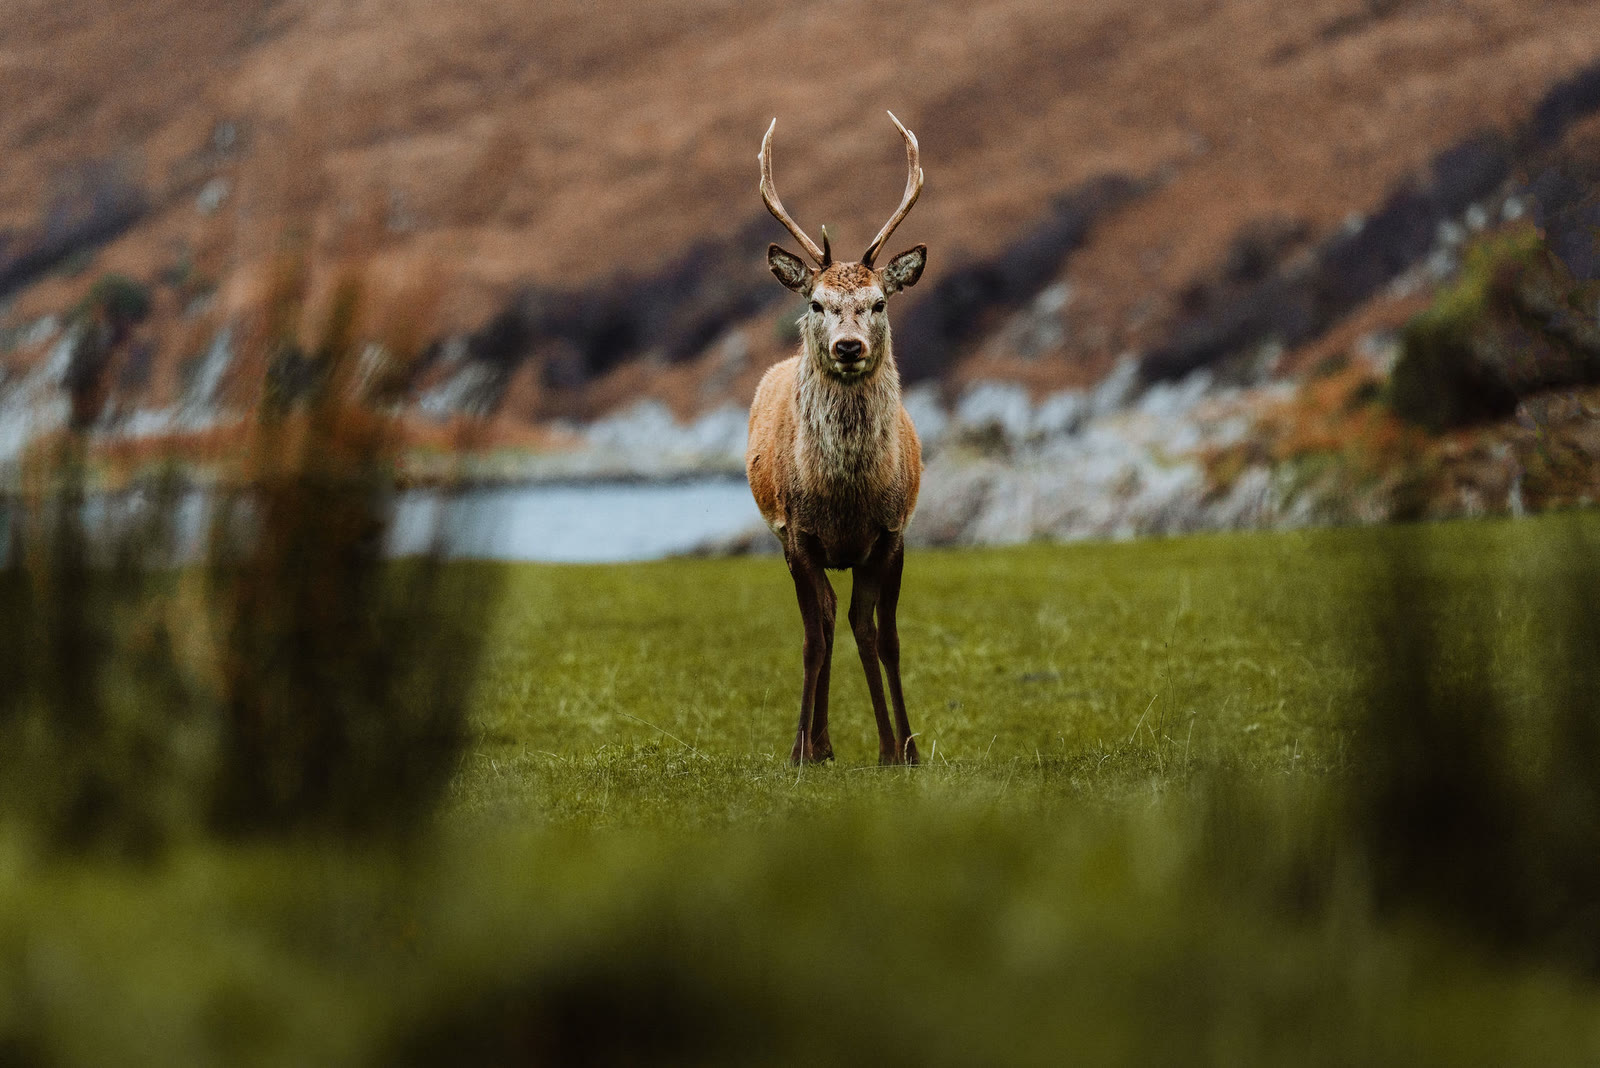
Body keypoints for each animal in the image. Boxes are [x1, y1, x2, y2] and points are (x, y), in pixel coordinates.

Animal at [745, 112, 928, 766]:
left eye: (878, 302)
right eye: (819, 303)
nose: (849, 346)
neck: (846, 501)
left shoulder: (893, 532)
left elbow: (882, 636)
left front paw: (901, 748)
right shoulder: (798, 535)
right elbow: (814, 636)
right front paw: (802, 749)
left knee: (849, 621)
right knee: (821, 623)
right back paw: (817, 743)